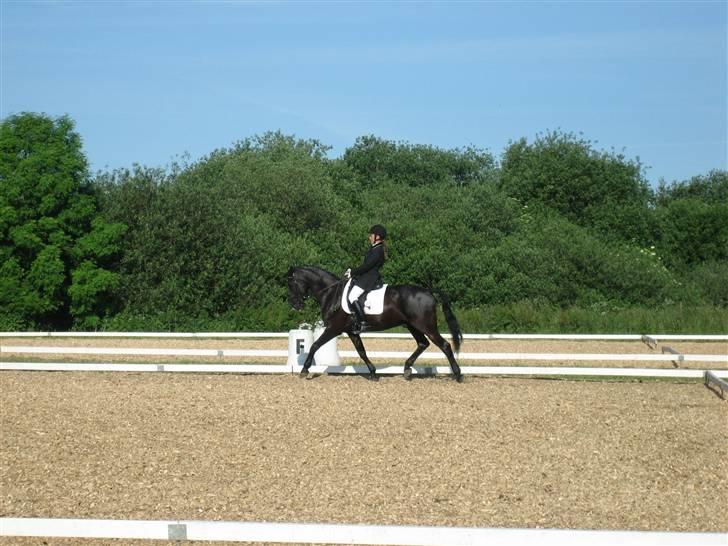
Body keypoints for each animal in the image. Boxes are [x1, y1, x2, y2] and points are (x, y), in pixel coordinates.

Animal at [288, 266, 464, 380]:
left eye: (292, 284)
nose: (295, 305)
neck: (331, 294)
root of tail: (428, 291)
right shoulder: (351, 331)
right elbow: (361, 351)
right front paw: (372, 372)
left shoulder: (334, 328)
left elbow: (314, 345)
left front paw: (304, 370)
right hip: (412, 325)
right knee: (423, 344)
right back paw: (407, 369)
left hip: (426, 326)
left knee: (444, 345)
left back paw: (457, 374)